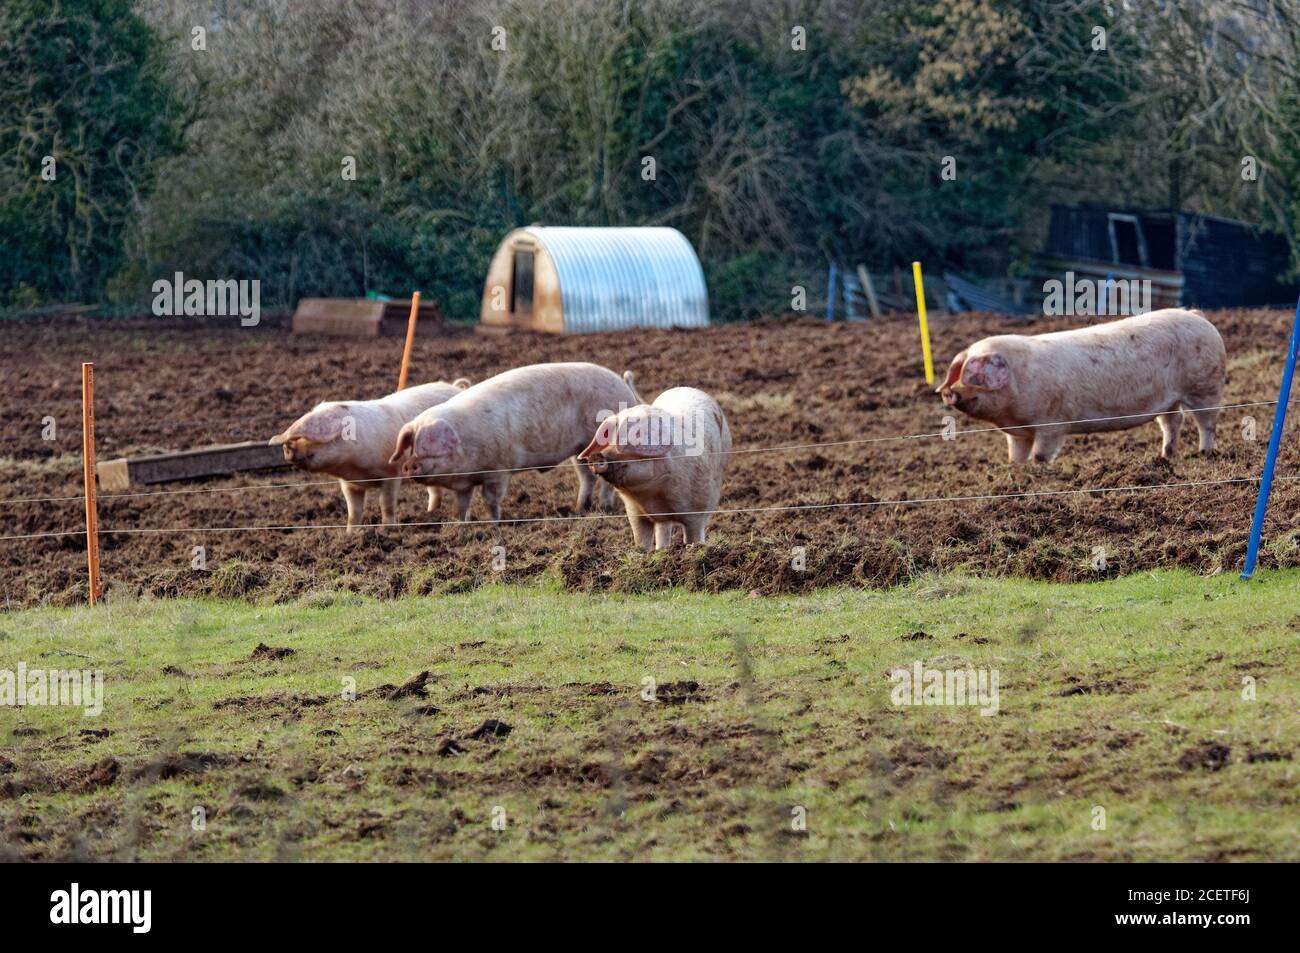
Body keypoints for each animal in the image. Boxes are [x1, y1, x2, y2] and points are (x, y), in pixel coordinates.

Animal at [266, 377, 470, 527]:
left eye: (313, 436)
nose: (287, 447)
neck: (354, 468)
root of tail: (456, 387)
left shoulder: (392, 473)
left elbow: (386, 505)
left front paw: (387, 529)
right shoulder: (349, 484)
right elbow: (353, 512)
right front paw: (350, 534)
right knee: (434, 489)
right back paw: (430, 514)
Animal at [390, 361, 644, 520]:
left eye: (429, 445)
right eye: (411, 446)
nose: (408, 465)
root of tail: (624, 387)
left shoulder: (498, 470)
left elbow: (491, 499)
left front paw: (494, 522)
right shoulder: (465, 484)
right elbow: (462, 503)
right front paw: (461, 523)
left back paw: (605, 507)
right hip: (580, 449)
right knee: (587, 476)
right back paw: (581, 508)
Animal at [579, 387, 733, 551]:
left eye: (628, 442)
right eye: (608, 439)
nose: (596, 455)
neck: (652, 494)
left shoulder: (698, 507)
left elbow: (694, 536)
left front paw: (694, 549)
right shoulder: (634, 512)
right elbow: (641, 538)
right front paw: (644, 552)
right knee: (663, 527)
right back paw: (662, 549)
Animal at [941, 310, 1222, 462]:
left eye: (974, 375)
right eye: (961, 371)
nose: (949, 393)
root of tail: (1197, 316)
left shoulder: (1053, 423)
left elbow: (1041, 455)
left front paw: (1038, 470)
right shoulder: (1018, 433)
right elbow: (1016, 455)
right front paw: (1016, 471)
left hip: (1206, 386)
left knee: (1206, 422)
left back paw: (1204, 453)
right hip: (1169, 399)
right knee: (1173, 422)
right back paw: (1165, 457)